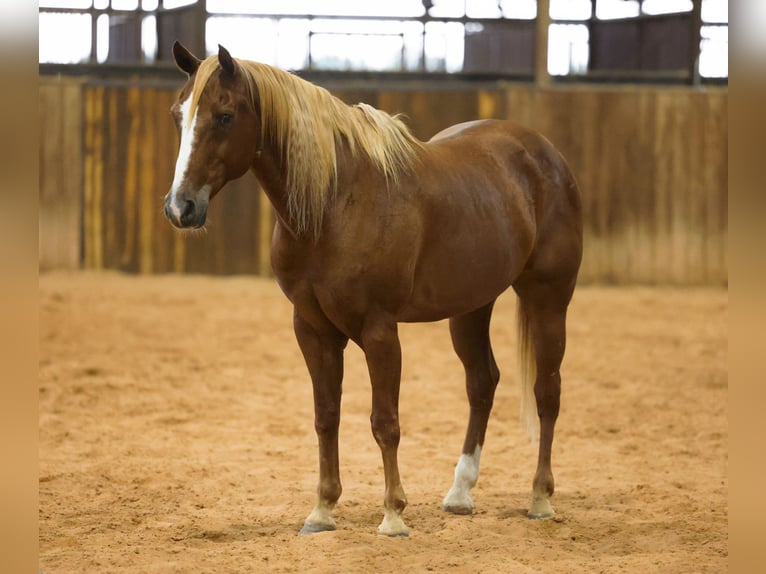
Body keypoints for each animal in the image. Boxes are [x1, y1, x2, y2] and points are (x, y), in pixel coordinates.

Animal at [164, 41, 583, 537]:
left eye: (225, 116)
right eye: (179, 115)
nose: (180, 207)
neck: (333, 203)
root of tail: (545, 154)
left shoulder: (379, 330)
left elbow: (385, 422)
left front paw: (394, 514)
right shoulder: (313, 329)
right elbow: (326, 415)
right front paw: (322, 510)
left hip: (548, 299)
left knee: (547, 392)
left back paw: (540, 497)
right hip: (470, 308)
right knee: (482, 383)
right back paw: (460, 493)